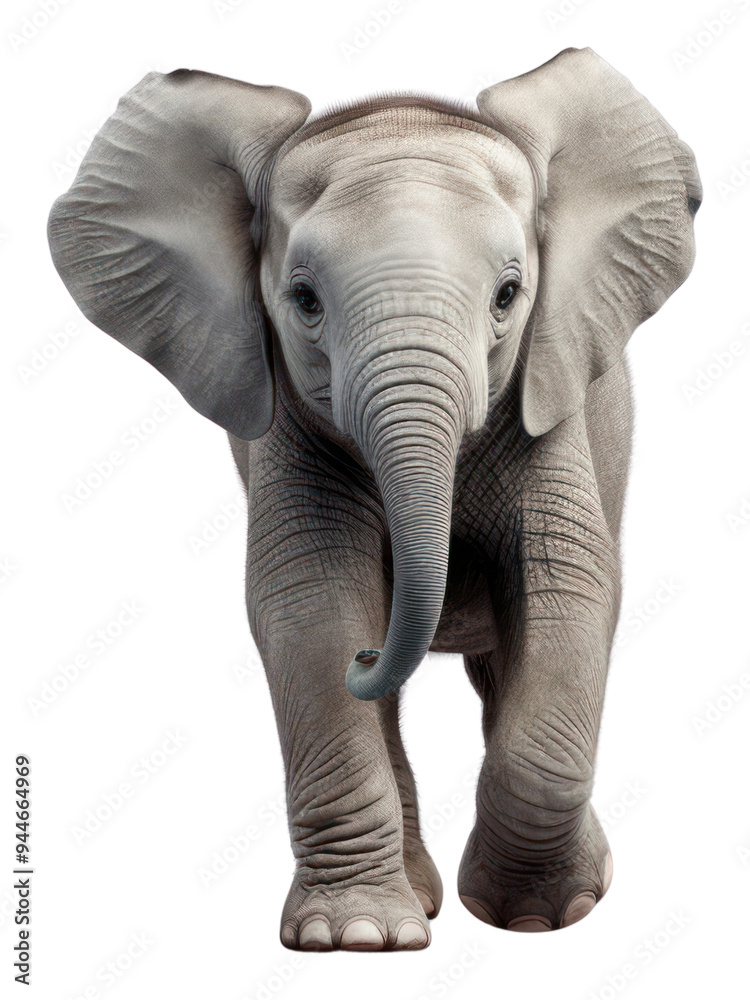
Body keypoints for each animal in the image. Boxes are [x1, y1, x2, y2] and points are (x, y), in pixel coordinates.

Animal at [48, 47, 700, 952]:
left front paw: (538, 919)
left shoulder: (549, 401)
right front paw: (355, 939)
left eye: (508, 295)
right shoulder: (289, 424)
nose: (371, 653)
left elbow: (570, 592)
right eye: (304, 301)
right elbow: (312, 604)